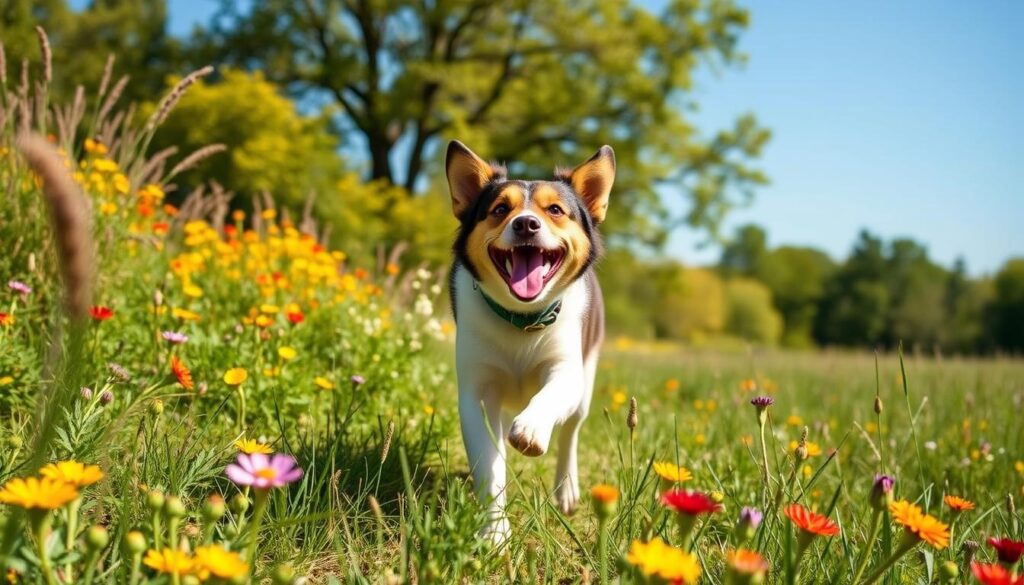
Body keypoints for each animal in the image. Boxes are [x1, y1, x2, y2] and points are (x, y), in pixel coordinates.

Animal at [444, 139, 610, 540]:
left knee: (570, 434)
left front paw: (532, 427)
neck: (522, 319)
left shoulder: (567, 369)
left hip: (586, 384)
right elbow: (489, 465)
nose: (526, 223)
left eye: (555, 210)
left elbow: (551, 395)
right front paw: (494, 532)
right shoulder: (479, 390)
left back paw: (566, 488)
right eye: (500, 209)